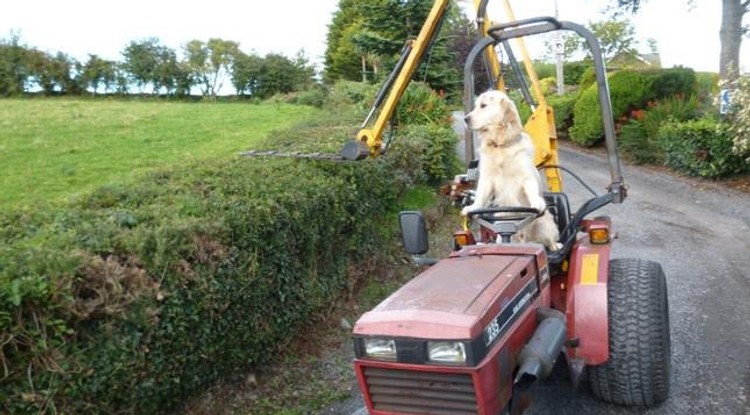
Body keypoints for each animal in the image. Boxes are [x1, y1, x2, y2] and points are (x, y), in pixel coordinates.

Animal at [464, 90, 564, 252]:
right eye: (476, 105)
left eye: (483, 105)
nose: (466, 119)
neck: (501, 146)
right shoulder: (487, 178)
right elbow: (480, 195)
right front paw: (471, 207)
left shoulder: (526, 176)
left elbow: (531, 189)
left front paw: (537, 203)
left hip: (544, 226)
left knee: (549, 240)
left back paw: (555, 245)